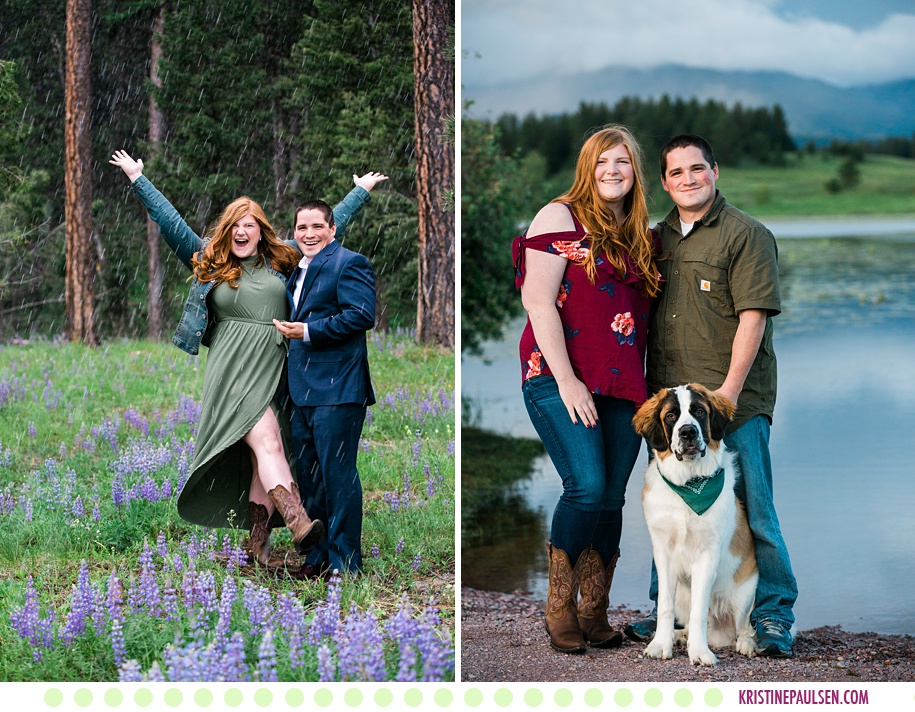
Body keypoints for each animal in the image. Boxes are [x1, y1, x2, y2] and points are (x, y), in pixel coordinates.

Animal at [636, 384, 760, 668]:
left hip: (746, 591)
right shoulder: (663, 553)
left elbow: (699, 610)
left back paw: (745, 644)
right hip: (683, 593)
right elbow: (665, 605)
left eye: (699, 412)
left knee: (744, 626)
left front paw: (700, 652)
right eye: (671, 416)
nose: (688, 432)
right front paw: (661, 643)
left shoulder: (707, 554)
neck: (689, 483)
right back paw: (679, 636)